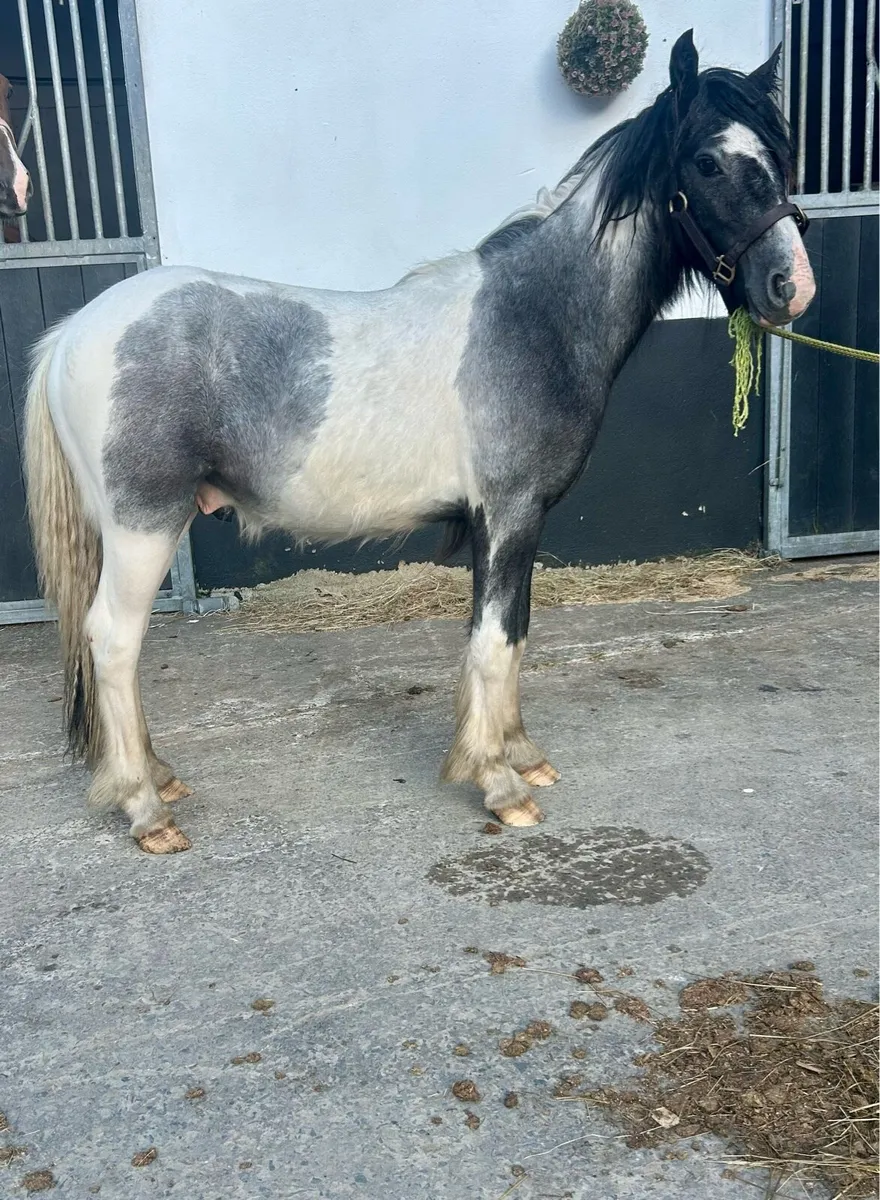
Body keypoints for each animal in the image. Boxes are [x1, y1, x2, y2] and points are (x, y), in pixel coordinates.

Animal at [24, 31, 815, 854]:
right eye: (708, 162)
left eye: (778, 154)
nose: (792, 285)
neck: (534, 318)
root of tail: (74, 332)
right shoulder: (509, 514)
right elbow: (493, 642)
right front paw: (499, 785)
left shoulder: (511, 523)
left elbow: (512, 633)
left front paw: (521, 756)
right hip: (143, 526)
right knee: (114, 641)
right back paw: (147, 809)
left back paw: (159, 776)